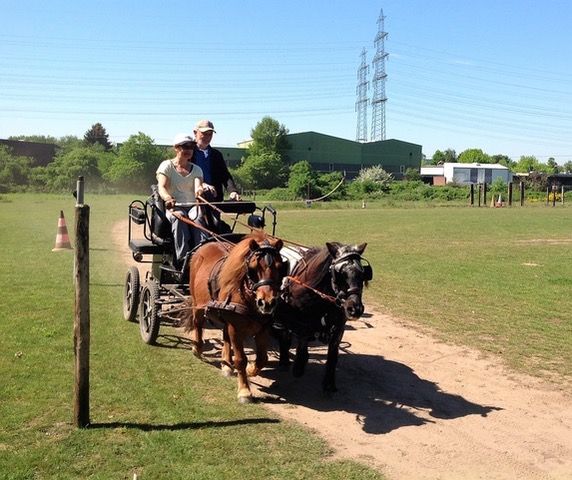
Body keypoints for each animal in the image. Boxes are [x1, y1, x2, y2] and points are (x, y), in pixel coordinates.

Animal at [187, 231, 284, 404]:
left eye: (280, 267)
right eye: (253, 268)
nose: (267, 302)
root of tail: (204, 246)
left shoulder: (263, 328)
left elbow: (262, 358)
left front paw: (251, 369)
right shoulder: (236, 328)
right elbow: (240, 359)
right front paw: (244, 391)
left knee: (225, 335)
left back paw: (226, 364)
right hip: (197, 304)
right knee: (198, 323)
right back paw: (197, 347)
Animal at [274, 240, 374, 394]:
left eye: (363, 274)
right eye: (339, 274)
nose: (355, 309)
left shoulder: (339, 327)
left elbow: (333, 356)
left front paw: (329, 383)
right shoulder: (298, 321)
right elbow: (302, 340)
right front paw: (299, 365)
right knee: (281, 333)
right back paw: (284, 359)